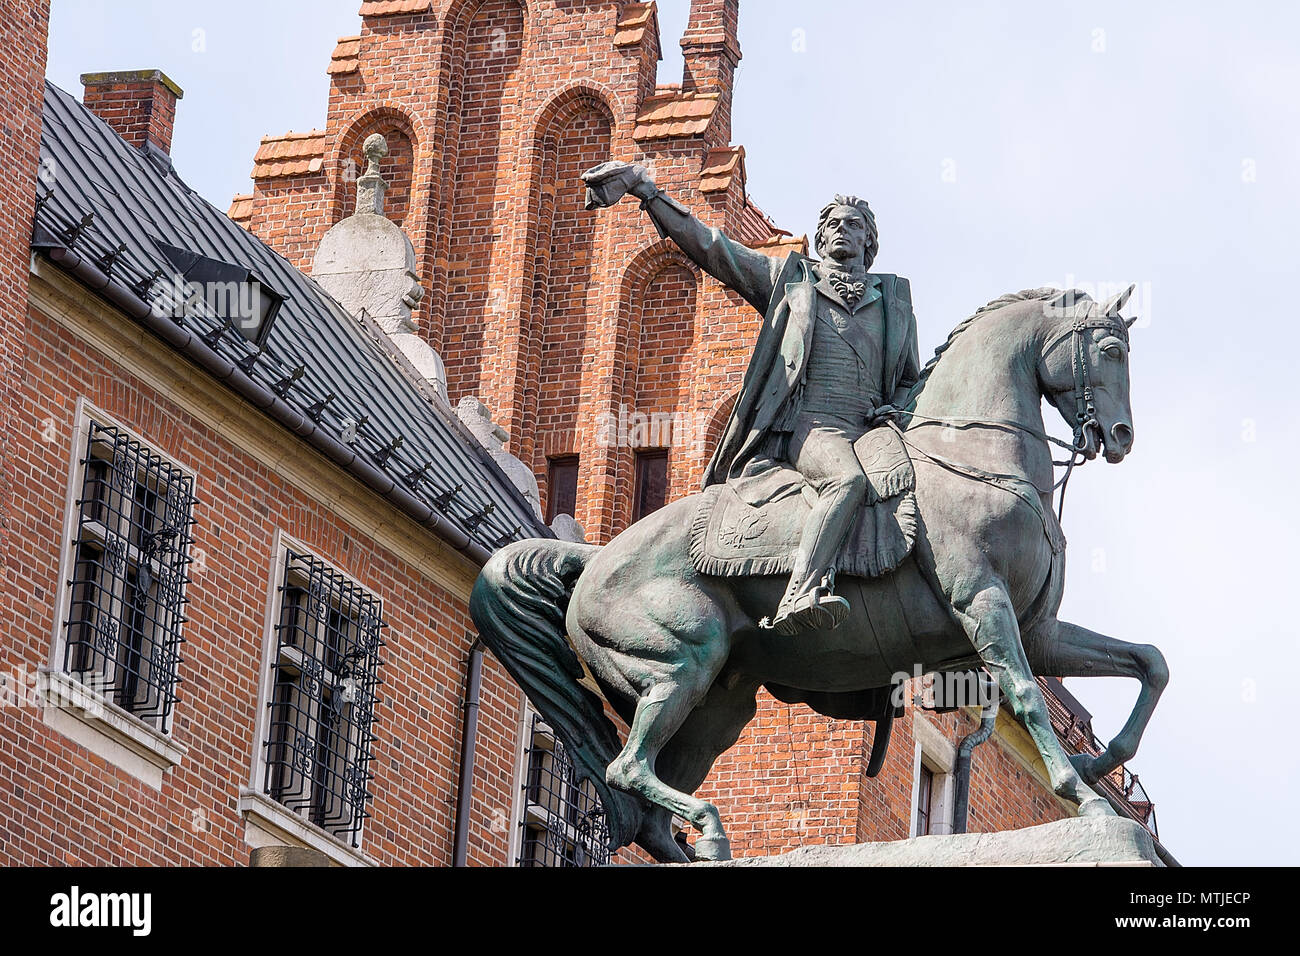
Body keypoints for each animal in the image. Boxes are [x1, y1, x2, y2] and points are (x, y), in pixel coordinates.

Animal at [470, 283, 1170, 868]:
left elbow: (1150, 663)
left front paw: (1099, 759)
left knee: (644, 812)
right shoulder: (982, 602)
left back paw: (706, 846)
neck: (971, 458)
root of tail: (592, 561)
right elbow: (1027, 694)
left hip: (717, 707)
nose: (1120, 436)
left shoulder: (1039, 629)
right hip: (682, 662)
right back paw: (712, 827)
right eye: (1110, 349)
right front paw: (1085, 794)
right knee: (626, 769)